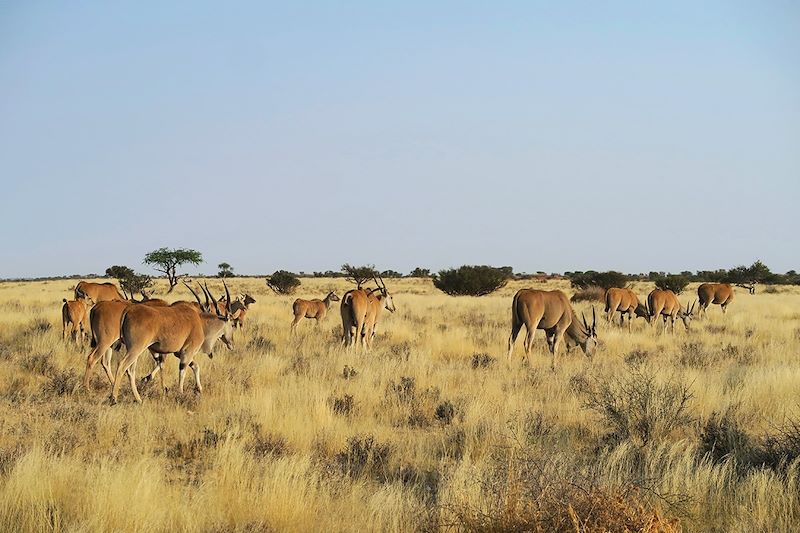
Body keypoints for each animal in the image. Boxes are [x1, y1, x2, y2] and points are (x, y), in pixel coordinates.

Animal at [111, 280, 239, 402]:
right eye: (232, 324)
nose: (232, 344)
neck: (200, 322)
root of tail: (128, 310)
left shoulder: (179, 353)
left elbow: (195, 366)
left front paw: (199, 389)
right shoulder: (187, 352)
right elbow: (183, 371)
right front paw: (180, 393)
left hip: (134, 350)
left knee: (131, 370)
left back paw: (138, 399)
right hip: (136, 349)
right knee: (122, 365)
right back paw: (114, 398)